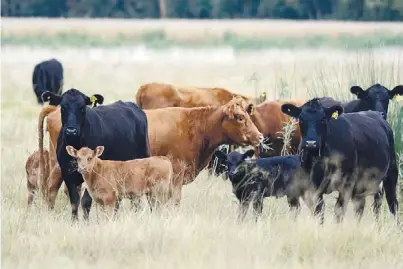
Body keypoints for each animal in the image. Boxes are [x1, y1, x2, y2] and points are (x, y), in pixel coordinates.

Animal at [41, 88, 152, 220]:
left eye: (82, 108)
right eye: (63, 107)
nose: (71, 131)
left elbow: (86, 201)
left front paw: (86, 222)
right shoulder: (67, 173)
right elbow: (74, 201)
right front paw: (74, 221)